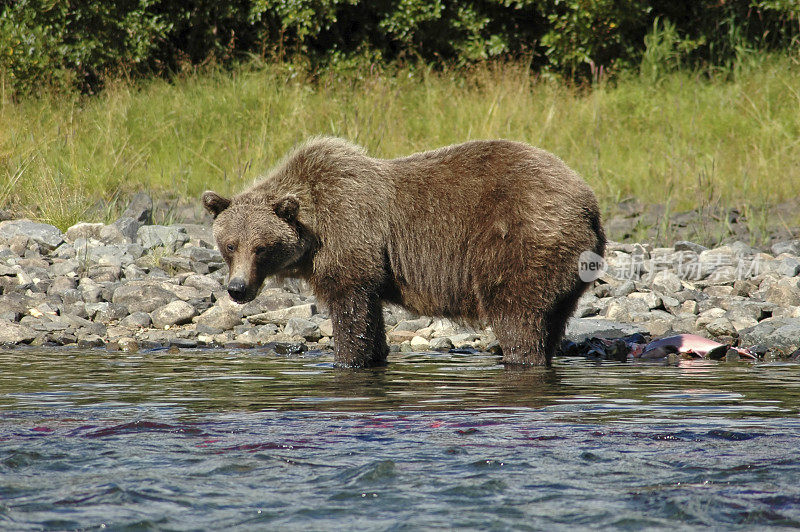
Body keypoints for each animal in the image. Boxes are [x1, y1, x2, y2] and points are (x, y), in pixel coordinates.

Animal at [203, 137, 604, 368]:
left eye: (261, 247)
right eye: (230, 244)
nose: (237, 289)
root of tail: (588, 201)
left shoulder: (350, 234)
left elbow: (350, 310)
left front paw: (345, 361)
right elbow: (370, 318)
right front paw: (375, 354)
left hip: (520, 240)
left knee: (516, 314)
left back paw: (520, 357)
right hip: (568, 268)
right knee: (554, 316)